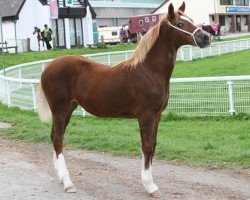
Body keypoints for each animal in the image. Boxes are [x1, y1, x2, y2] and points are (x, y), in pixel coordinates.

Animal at [35, 2, 211, 198]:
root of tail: (47, 68)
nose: (206, 37)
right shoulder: (145, 115)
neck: (148, 71)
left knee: (54, 137)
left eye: (191, 20)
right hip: (59, 110)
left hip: (68, 110)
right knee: (58, 139)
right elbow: (147, 146)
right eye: (180, 24)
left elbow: (153, 145)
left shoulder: (157, 116)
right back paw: (68, 183)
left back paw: (61, 177)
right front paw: (150, 186)